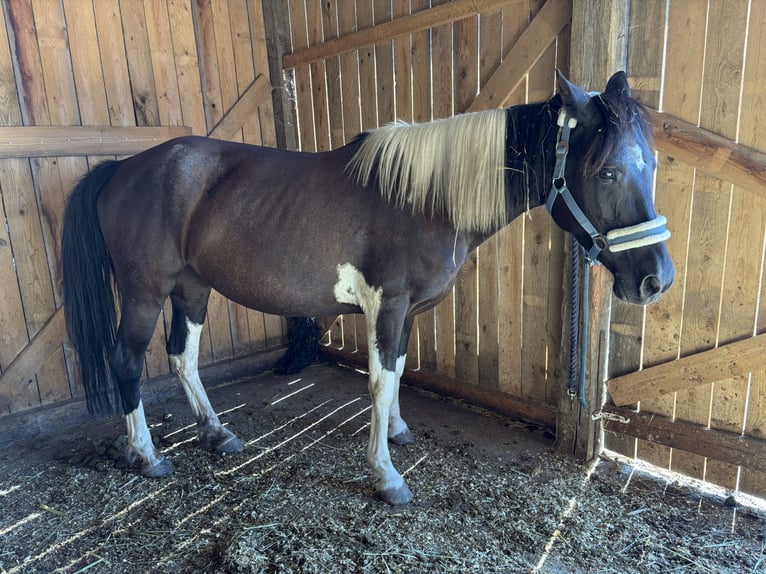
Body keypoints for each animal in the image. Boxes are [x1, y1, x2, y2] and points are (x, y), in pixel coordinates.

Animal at [61, 70, 674, 506]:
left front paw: (398, 432)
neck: (428, 197)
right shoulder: (389, 304)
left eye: (653, 164)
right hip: (145, 291)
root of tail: (122, 168)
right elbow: (380, 380)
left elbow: (398, 371)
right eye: (606, 171)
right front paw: (387, 476)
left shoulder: (409, 312)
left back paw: (217, 434)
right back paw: (146, 456)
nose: (657, 278)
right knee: (126, 360)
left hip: (191, 287)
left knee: (183, 357)